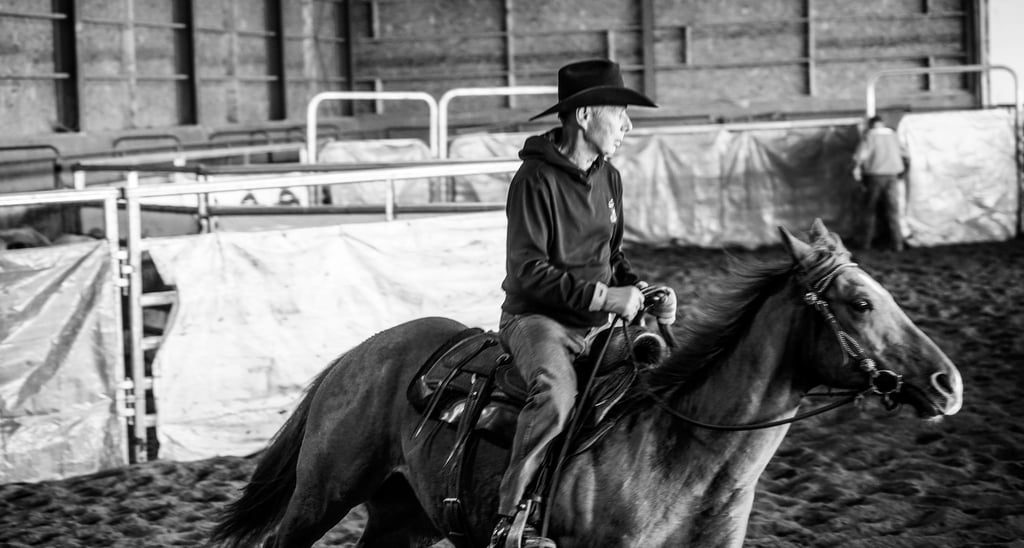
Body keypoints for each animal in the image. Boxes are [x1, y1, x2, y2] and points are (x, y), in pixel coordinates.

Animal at [210, 219, 963, 548]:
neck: (682, 453)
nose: (948, 381)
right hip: (321, 497)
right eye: (860, 303)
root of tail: (358, 355)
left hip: (406, 517)